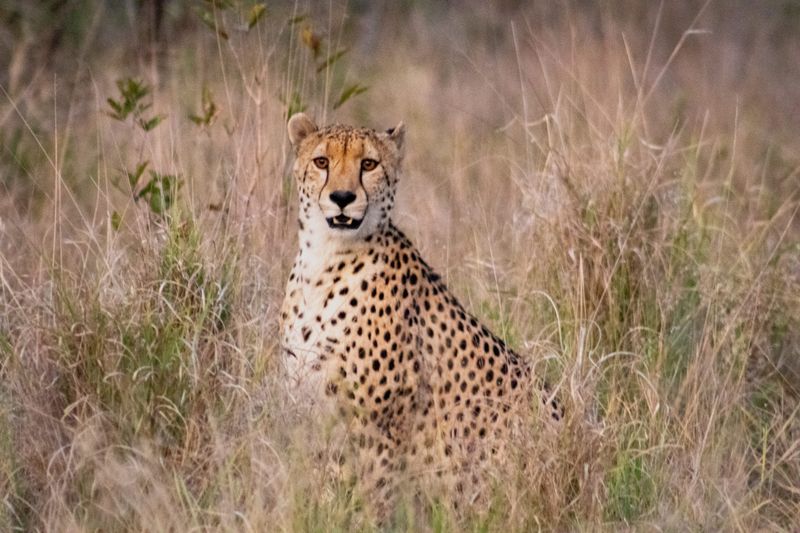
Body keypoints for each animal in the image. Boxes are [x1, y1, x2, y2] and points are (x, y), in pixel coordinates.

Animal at [279, 112, 562, 517]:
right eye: (322, 162)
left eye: (369, 164)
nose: (342, 198)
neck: (326, 258)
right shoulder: (313, 413)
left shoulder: (381, 427)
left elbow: (371, 496)